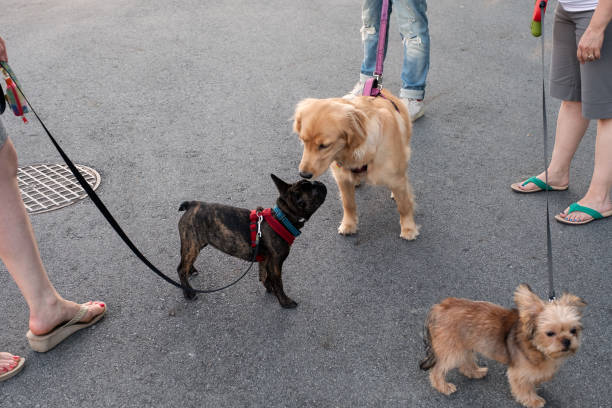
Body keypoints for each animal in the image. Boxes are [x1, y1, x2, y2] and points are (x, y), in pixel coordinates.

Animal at [177, 174, 328, 308]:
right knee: (181, 269)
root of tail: (192, 204)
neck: (282, 219)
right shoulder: (275, 263)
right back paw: (188, 292)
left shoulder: (266, 260)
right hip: (192, 244)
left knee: (185, 262)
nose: (318, 182)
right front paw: (284, 301)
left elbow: (265, 276)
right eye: (309, 189)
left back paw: (191, 270)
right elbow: (278, 283)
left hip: (196, 243)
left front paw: (269, 288)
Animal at [292, 90, 418, 239]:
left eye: (324, 145)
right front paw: (349, 225)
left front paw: (408, 228)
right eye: (303, 140)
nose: (304, 174)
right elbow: (348, 204)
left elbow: (404, 206)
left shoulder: (396, 179)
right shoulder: (342, 178)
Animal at [418, 284, 584, 408]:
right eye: (550, 333)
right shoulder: (518, 373)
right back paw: (443, 387)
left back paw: (475, 372)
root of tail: (438, 307)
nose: (567, 341)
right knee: (437, 370)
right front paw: (533, 400)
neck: (537, 347)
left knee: (465, 362)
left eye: (573, 330)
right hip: (453, 349)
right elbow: (524, 388)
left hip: (464, 343)